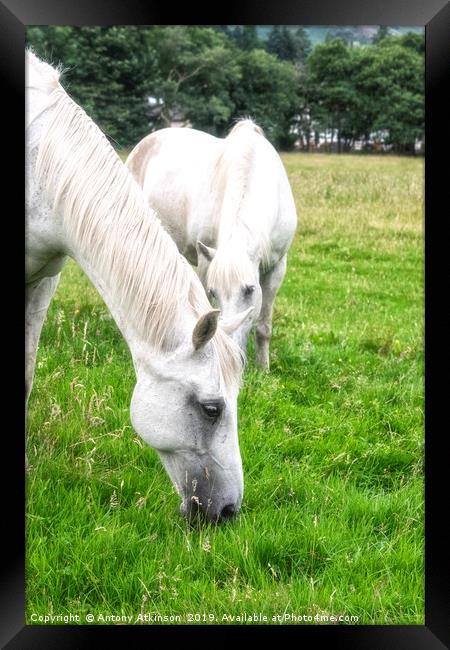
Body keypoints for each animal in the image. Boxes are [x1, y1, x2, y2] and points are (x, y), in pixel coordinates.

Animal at [125, 119, 298, 368]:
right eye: (213, 291)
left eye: (250, 290)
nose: (235, 354)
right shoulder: (205, 261)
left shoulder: (276, 267)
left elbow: (264, 326)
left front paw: (263, 368)